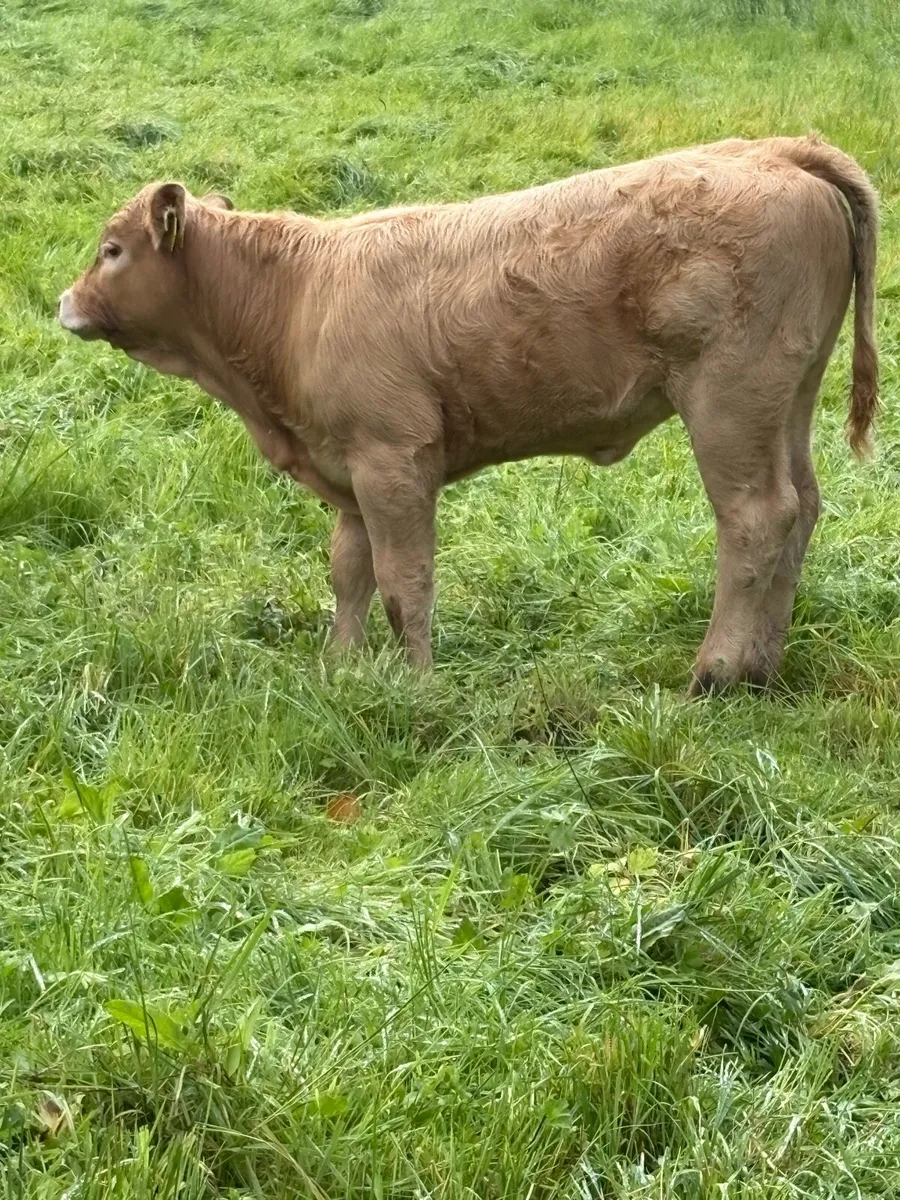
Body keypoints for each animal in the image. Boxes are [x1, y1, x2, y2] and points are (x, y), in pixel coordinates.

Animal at [58, 135, 878, 694]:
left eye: (112, 250)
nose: (65, 301)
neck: (297, 296)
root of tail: (775, 150)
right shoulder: (349, 469)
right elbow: (349, 573)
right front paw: (340, 669)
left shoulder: (393, 461)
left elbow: (403, 583)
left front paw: (416, 684)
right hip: (787, 399)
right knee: (802, 508)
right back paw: (762, 667)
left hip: (729, 403)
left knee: (755, 519)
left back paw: (714, 674)